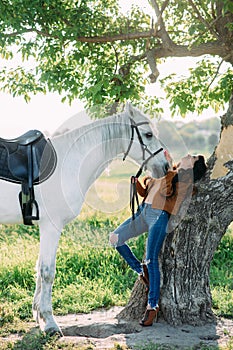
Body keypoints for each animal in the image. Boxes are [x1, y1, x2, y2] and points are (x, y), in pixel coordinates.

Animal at [0, 103, 168, 334]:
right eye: (148, 134)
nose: (166, 166)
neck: (69, 163)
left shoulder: (45, 228)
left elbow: (39, 268)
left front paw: (38, 315)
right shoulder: (51, 227)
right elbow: (47, 271)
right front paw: (50, 323)